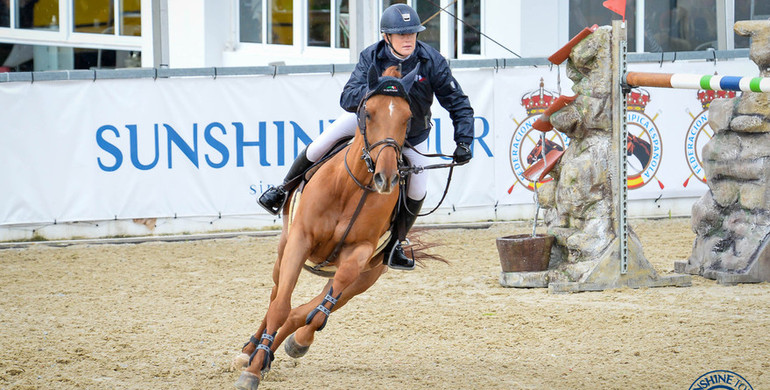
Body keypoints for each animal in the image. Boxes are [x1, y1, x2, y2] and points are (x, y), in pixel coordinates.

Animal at [234, 64, 420, 390]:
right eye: (367, 112)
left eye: (407, 117)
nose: (386, 177)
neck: (352, 187)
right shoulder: (300, 241)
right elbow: (279, 306)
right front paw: (251, 371)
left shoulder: (358, 254)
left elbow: (314, 313)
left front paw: (298, 343)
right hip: (284, 249)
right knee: (276, 297)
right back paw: (251, 351)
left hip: (366, 277)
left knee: (303, 312)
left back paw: (275, 350)